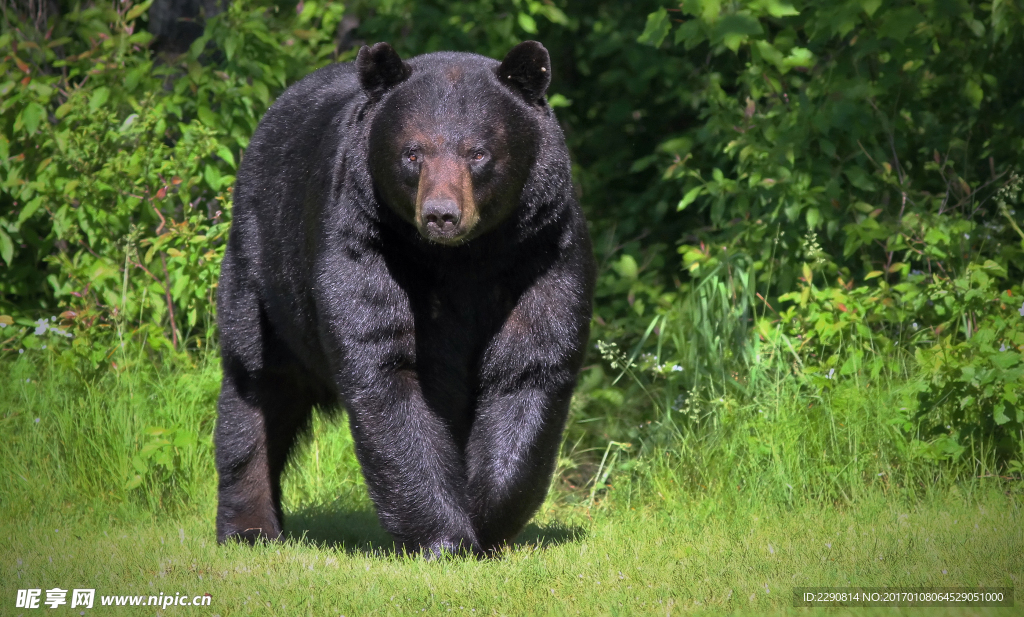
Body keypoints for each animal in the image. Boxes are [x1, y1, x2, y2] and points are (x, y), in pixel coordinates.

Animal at [214, 40, 595, 557]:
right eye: (413, 153)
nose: (441, 214)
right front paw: (444, 537)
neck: (462, 259)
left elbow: (530, 364)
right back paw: (249, 528)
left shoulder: (540, 250)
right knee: (256, 384)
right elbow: (385, 369)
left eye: (478, 152)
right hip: (263, 269)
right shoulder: (363, 241)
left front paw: (486, 516)